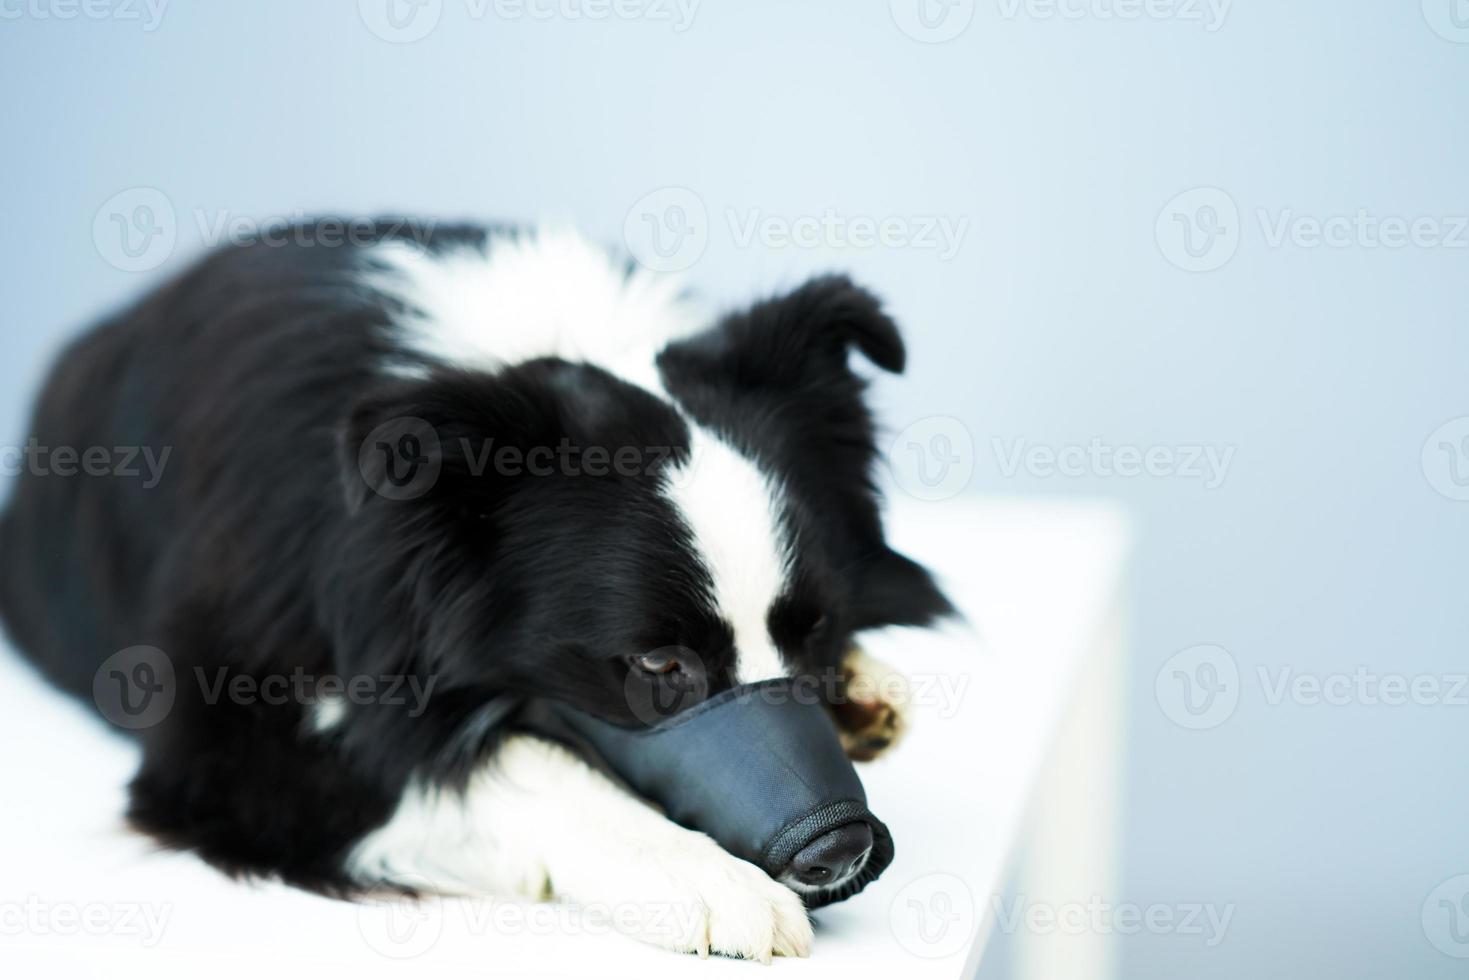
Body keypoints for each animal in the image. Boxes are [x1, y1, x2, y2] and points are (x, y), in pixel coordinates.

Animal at [0, 218, 951, 963]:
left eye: (814, 629)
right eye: (657, 666)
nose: (838, 847)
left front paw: (859, 687)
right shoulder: (228, 736)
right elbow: (484, 766)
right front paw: (704, 878)